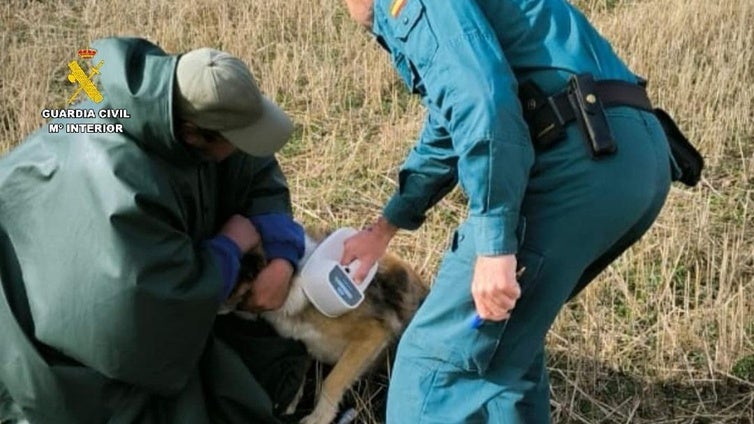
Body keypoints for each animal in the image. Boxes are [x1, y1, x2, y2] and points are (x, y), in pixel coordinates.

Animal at [223, 229, 426, 424]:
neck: (293, 283)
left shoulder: (373, 335)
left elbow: (332, 381)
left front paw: (319, 418)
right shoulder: (303, 344)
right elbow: (298, 375)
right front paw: (289, 407)